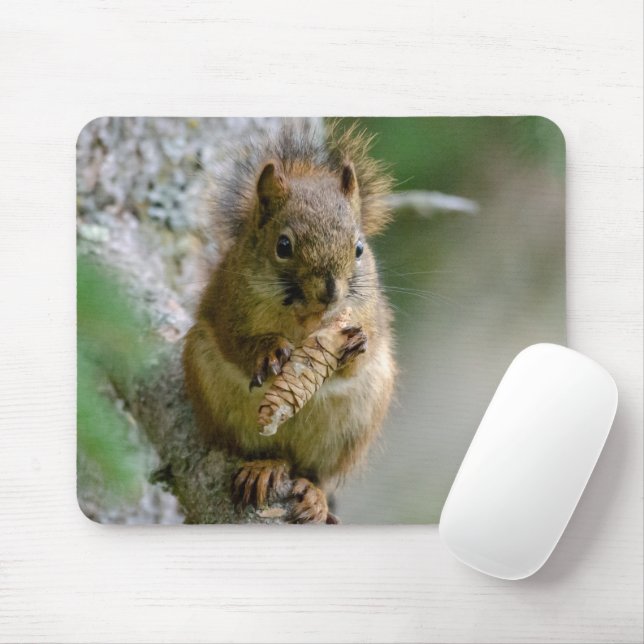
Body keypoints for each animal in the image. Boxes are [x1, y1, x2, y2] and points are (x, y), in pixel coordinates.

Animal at [182, 121, 396, 523]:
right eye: (283, 246)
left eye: (359, 248)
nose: (330, 291)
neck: (305, 321)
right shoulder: (227, 306)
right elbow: (235, 342)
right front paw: (268, 351)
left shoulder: (370, 314)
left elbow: (363, 350)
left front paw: (355, 344)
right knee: (264, 453)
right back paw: (263, 467)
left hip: (354, 425)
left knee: (314, 472)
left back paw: (313, 495)